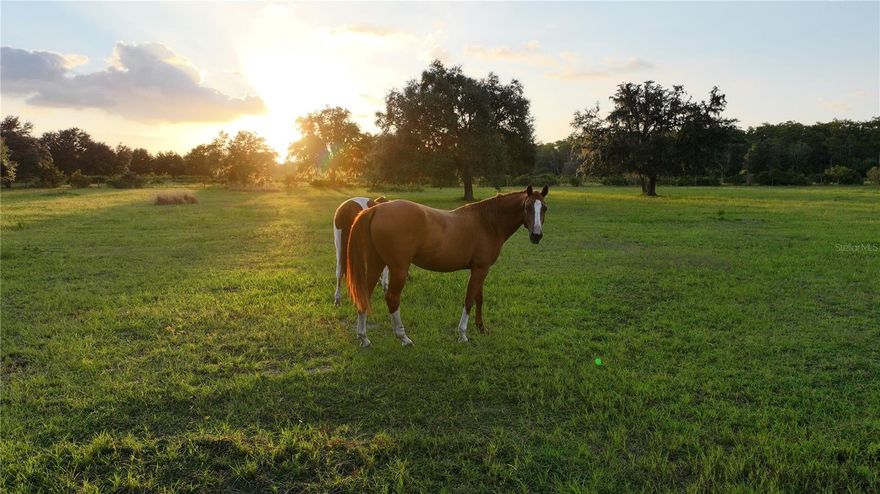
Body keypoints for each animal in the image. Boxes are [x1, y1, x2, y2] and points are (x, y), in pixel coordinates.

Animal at [346, 184, 548, 347]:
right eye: (527, 207)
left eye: (544, 208)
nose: (536, 236)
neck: (487, 222)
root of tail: (376, 210)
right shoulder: (479, 269)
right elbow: (469, 300)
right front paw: (463, 334)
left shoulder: (481, 269)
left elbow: (479, 298)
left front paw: (481, 327)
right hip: (399, 269)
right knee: (392, 299)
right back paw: (404, 338)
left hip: (376, 263)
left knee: (365, 294)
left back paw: (364, 338)